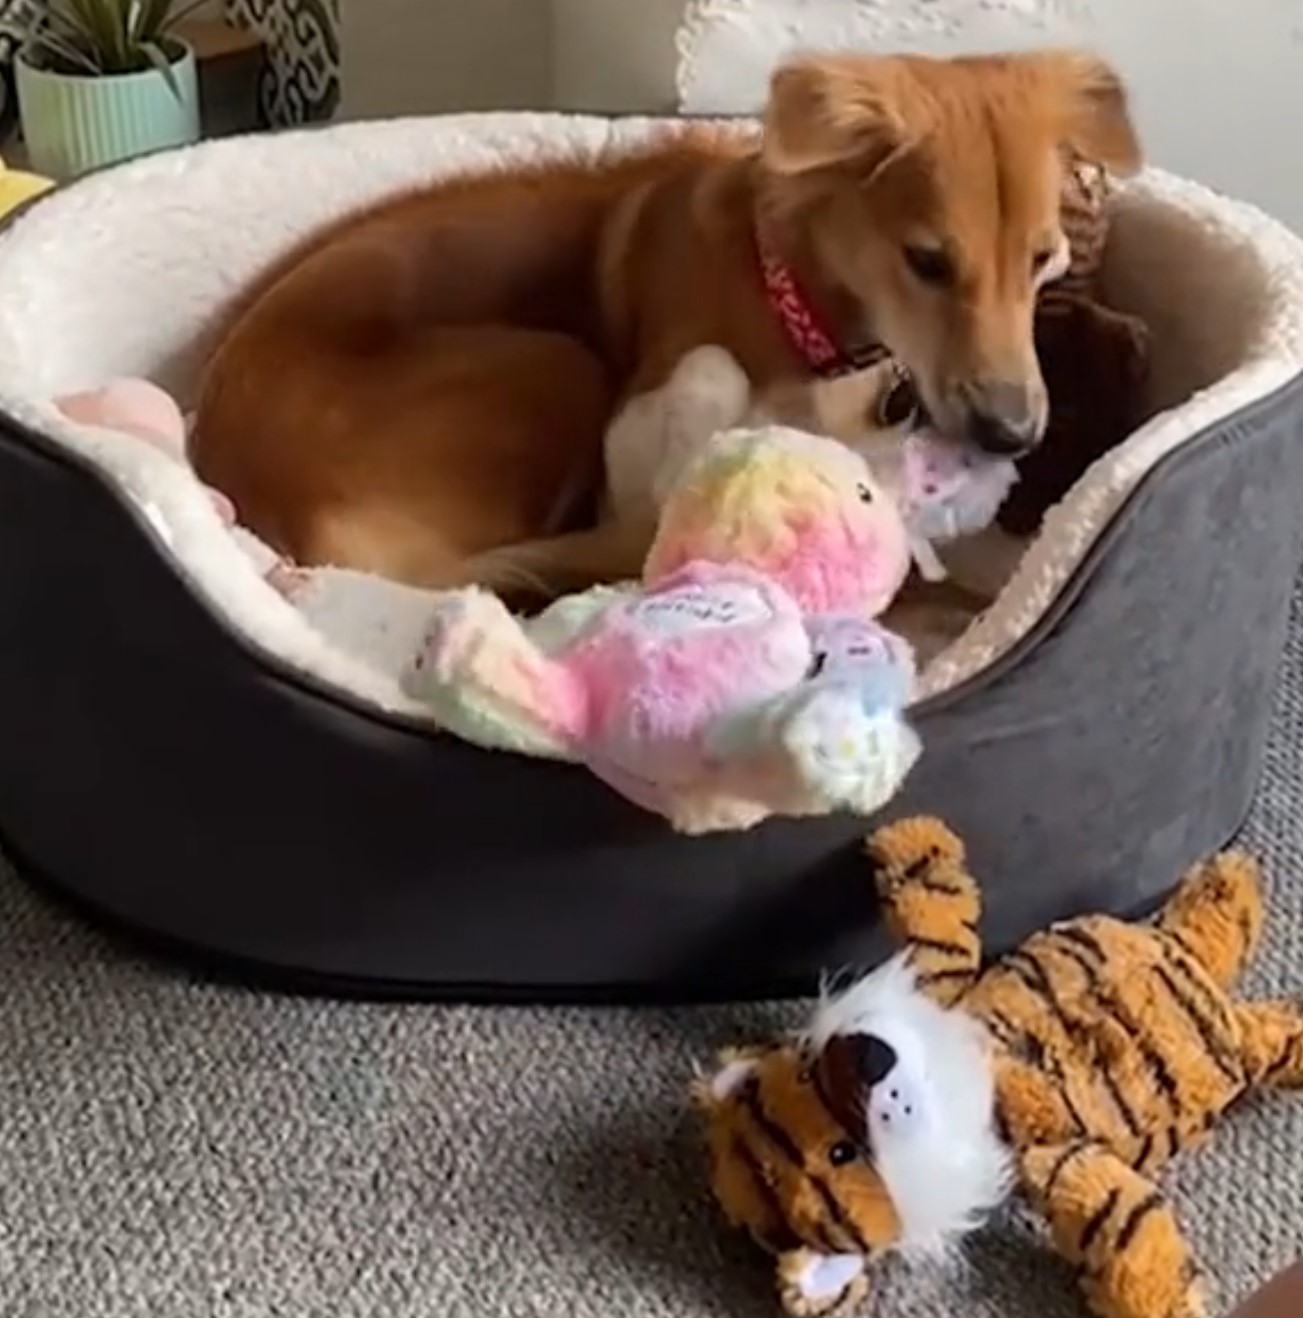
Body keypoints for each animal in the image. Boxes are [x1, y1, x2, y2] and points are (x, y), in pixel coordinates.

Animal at [188, 47, 1133, 606]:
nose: (1011, 436)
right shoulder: (633, 457)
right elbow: (702, 400)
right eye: (927, 261)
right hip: (557, 363)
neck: (795, 303)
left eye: (1042, 259)